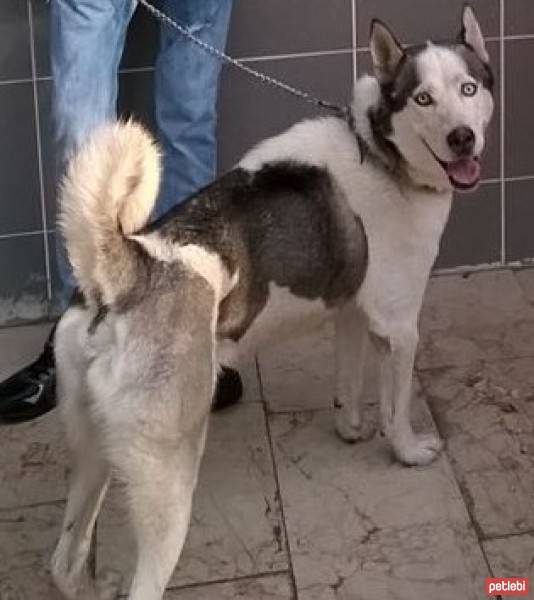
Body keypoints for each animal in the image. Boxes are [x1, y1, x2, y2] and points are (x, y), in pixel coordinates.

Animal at [51, 5, 494, 600]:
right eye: (422, 98)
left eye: (468, 88)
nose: (462, 138)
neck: (382, 154)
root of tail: (128, 269)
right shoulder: (399, 328)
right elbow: (396, 407)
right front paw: (405, 450)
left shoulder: (352, 312)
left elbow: (349, 381)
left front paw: (350, 428)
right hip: (167, 480)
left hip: (93, 454)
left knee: (65, 559)